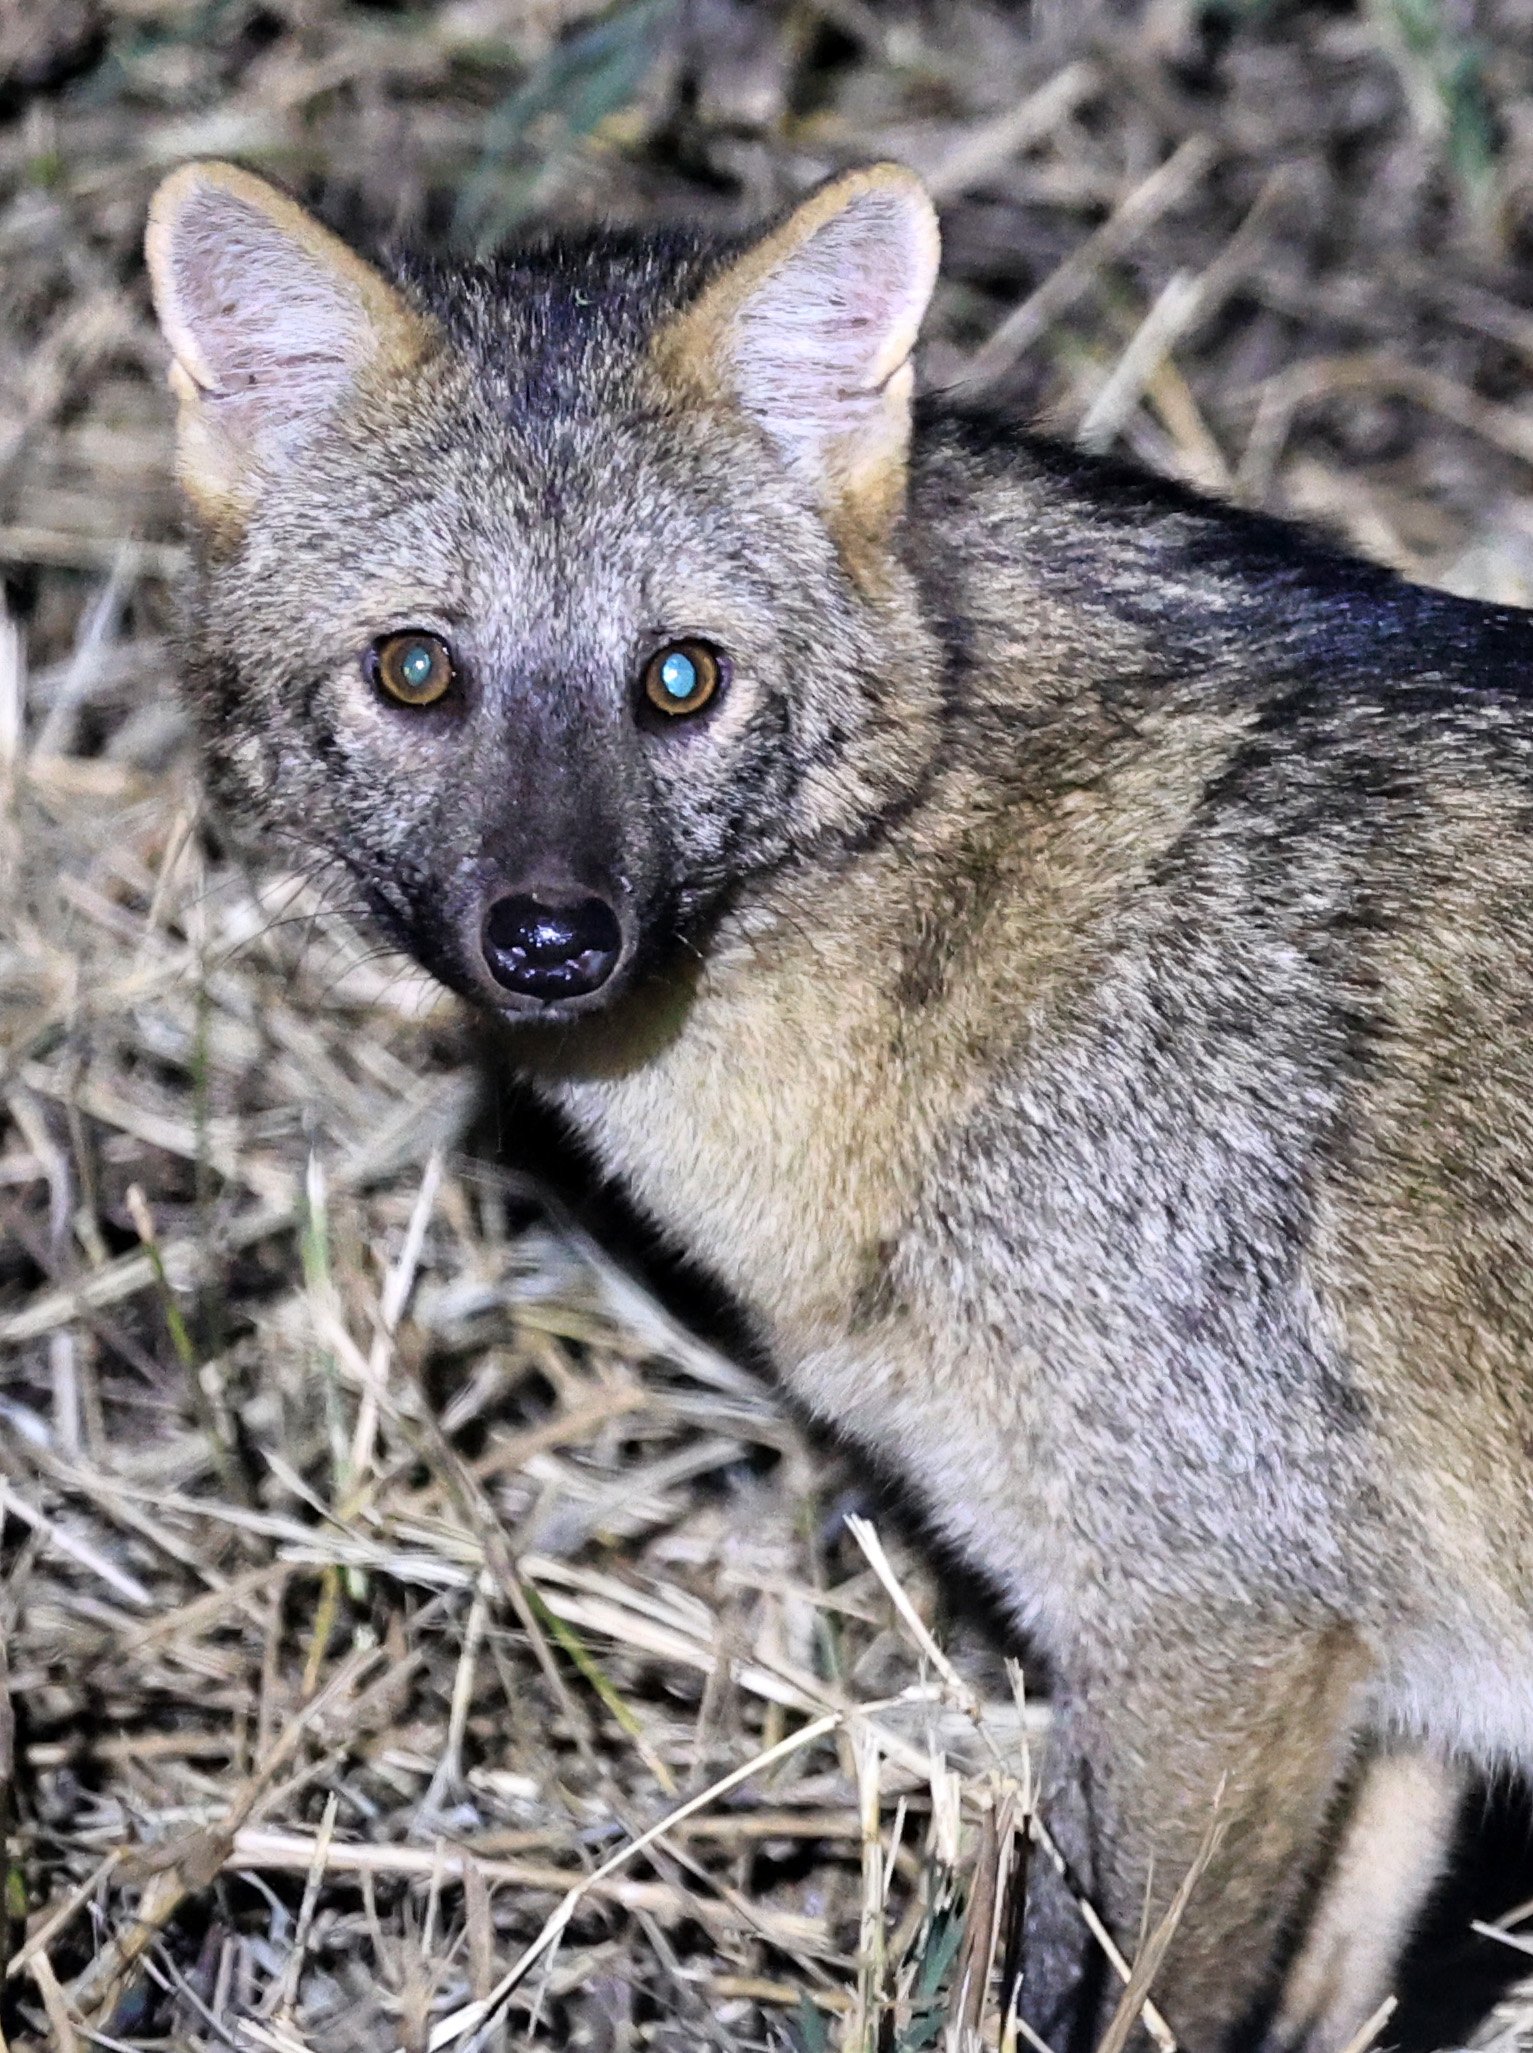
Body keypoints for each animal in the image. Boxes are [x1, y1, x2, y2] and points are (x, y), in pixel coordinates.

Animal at [141, 154, 1533, 2050]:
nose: (553, 938)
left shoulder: (1216, 1639)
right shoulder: (1389, 1698)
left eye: (678, 679)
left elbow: (1131, 1999)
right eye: (418, 669)